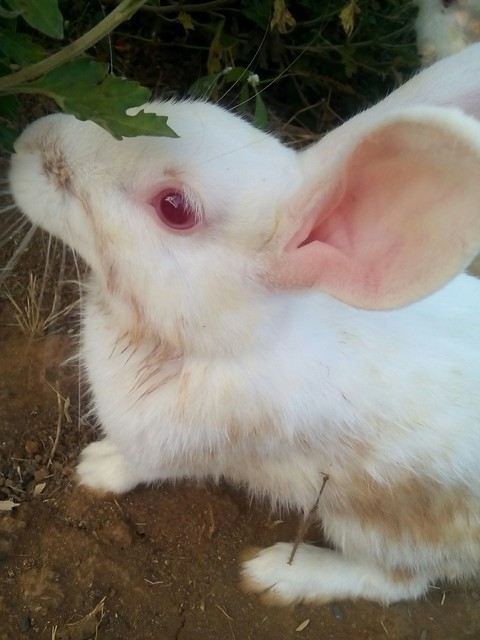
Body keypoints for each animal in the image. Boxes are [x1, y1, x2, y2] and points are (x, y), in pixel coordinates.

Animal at [8, 43, 480, 606]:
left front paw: (94, 468)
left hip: (374, 523)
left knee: (398, 581)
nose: (28, 142)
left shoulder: (166, 446)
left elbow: (134, 466)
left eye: (174, 208)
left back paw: (278, 573)